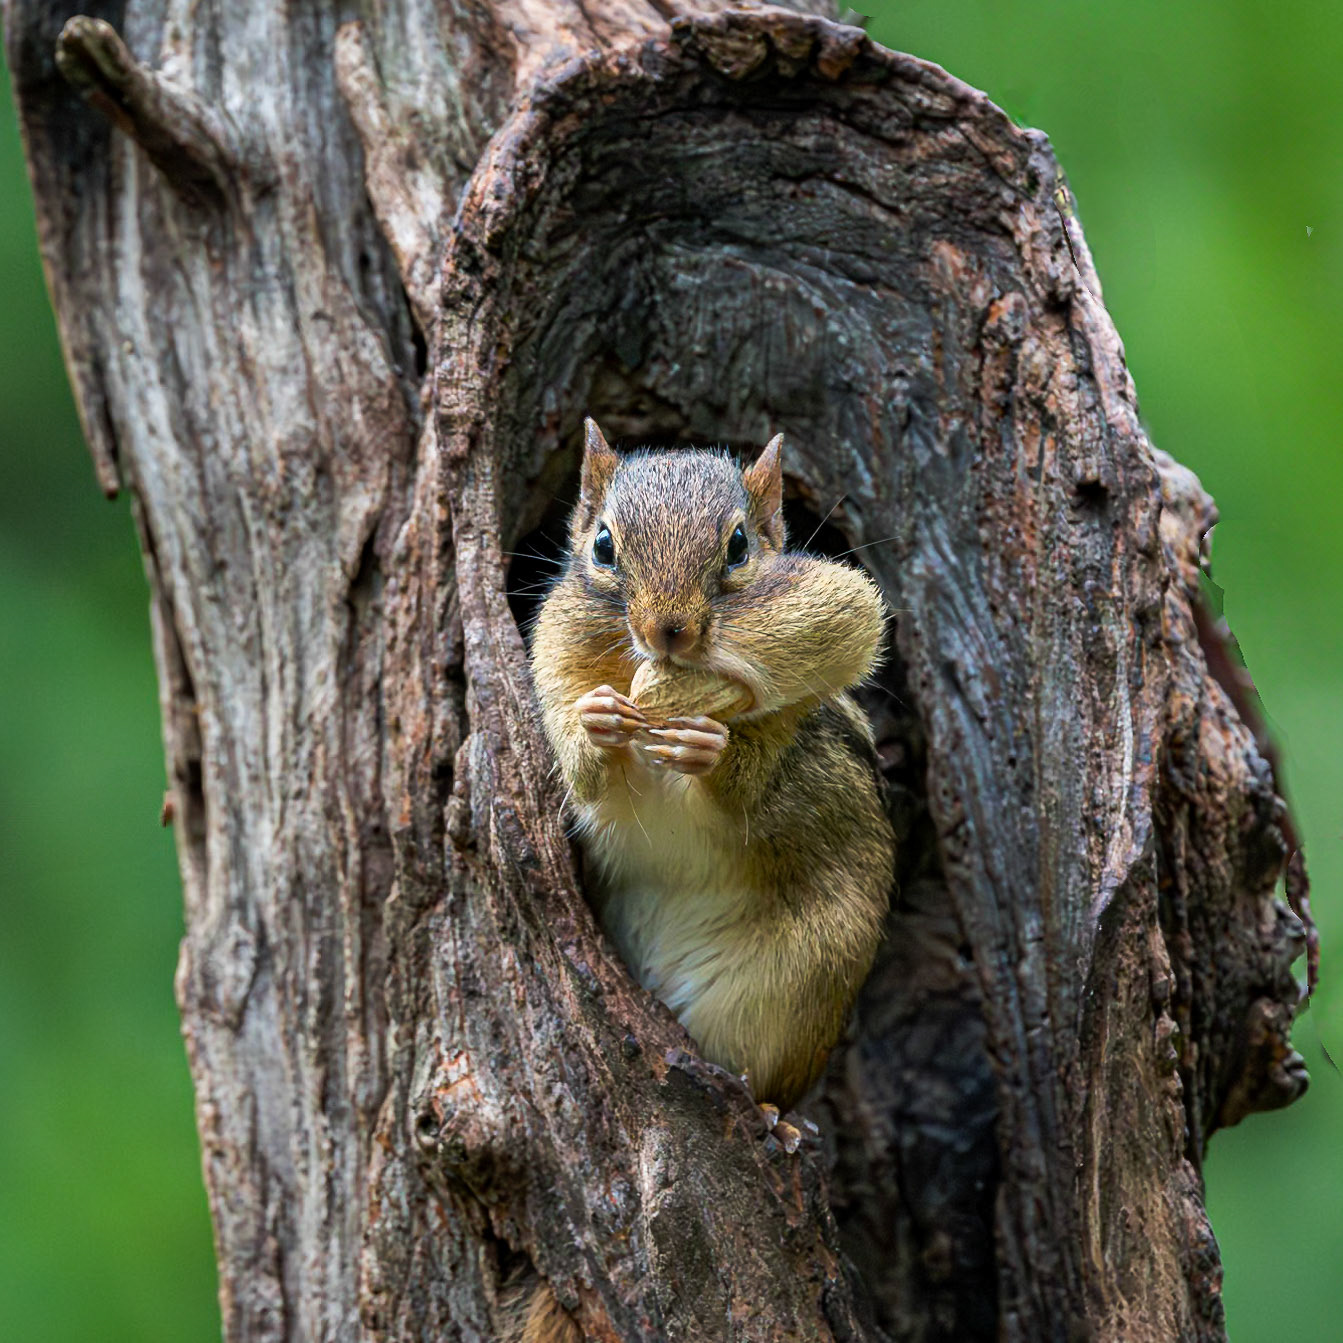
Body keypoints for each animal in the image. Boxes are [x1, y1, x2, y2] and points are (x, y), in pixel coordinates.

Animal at [514, 420, 895, 1342]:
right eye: (603, 545)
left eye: (737, 546)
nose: (669, 633)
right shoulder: (552, 661)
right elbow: (580, 770)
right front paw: (598, 724)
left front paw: (712, 749)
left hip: (793, 987)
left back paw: (771, 1120)